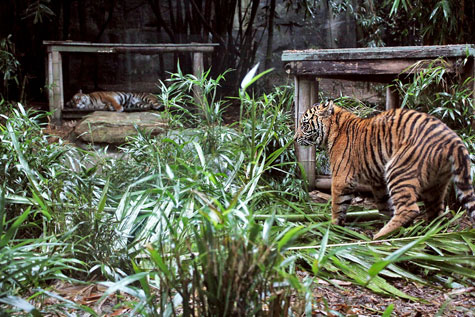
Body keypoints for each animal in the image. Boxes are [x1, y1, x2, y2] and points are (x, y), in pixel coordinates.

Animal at [296, 100, 475, 238]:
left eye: (304, 125)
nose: (295, 138)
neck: (334, 130)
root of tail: (454, 140)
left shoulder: (342, 178)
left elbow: (337, 205)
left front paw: (333, 227)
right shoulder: (378, 183)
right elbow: (384, 204)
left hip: (398, 170)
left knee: (409, 209)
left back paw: (379, 237)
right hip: (435, 185)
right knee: (437, 213)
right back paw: (430, 235)